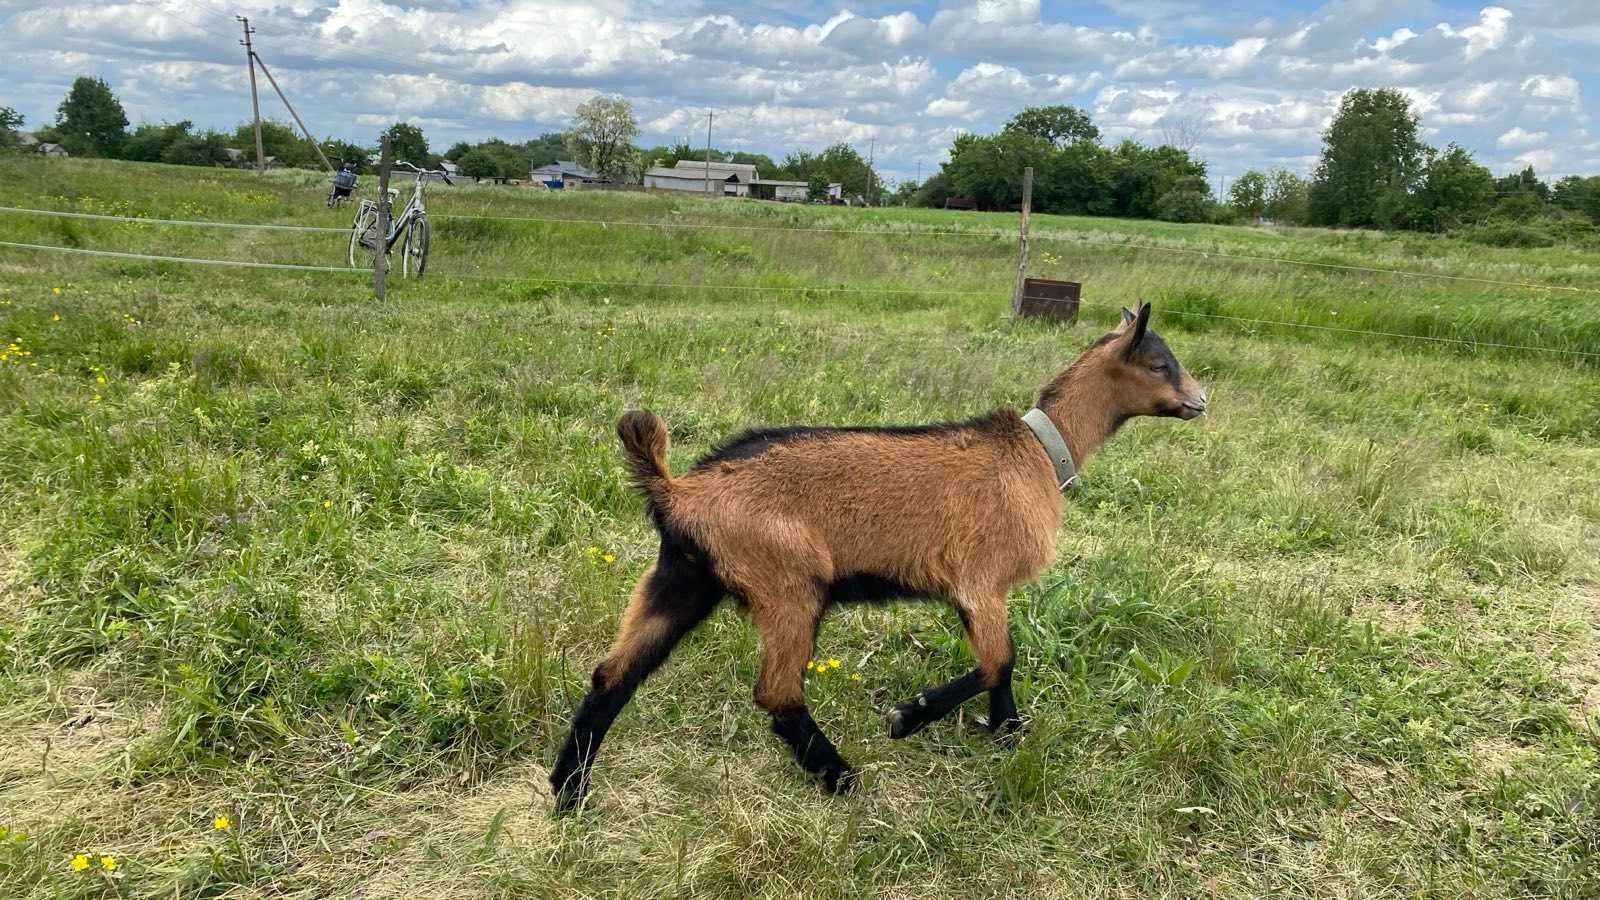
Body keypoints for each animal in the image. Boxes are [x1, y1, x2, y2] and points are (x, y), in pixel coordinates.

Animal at [550, 302, 1203, 813]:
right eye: (1158, 364)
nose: (1199, 400)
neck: (1038, 454)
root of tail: (679, 490)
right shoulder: (980, 580)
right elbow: (999, 661)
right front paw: (910, 716)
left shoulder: (978, 592)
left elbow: (1003, 665)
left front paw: (1008, 733)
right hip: (788, 586)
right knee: (777, 693)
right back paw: (842, 778)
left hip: (679, 581)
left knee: (614, 674)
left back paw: (567, 793)